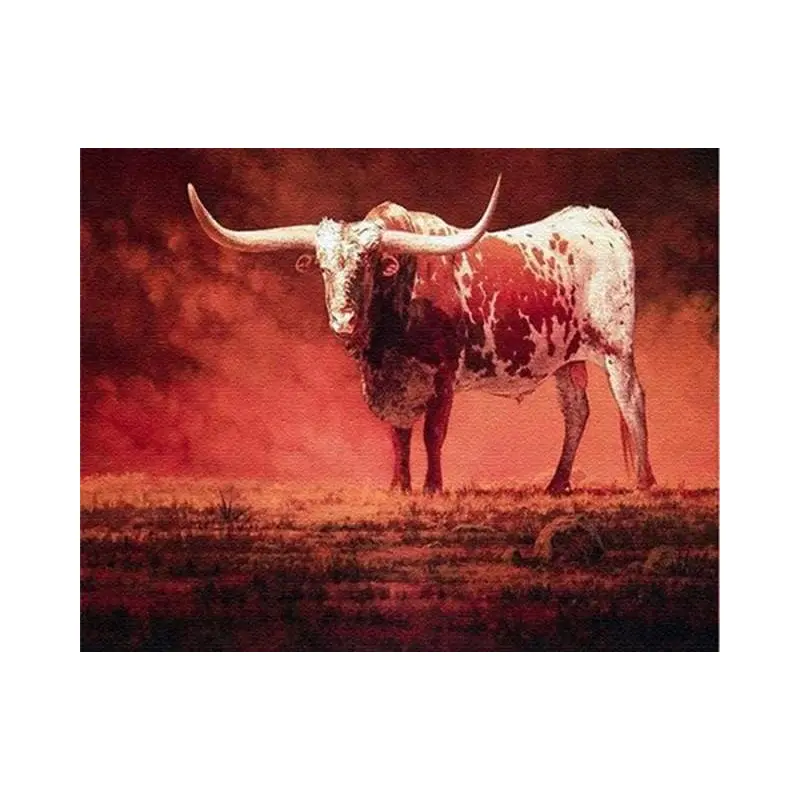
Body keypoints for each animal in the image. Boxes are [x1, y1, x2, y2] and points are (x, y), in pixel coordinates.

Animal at [187, 176, 656, 494]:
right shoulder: (392, 383)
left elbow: (433, 432)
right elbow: (398, 434)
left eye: (370, 265)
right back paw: (557, 484)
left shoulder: (444, 376)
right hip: (566, 359)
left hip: (616, 348)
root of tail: (596, 217)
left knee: (631, 400)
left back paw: (644, 481)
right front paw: (400, 486)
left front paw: (432, 487)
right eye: (322, 266)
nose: (342, 320)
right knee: (576, 411)